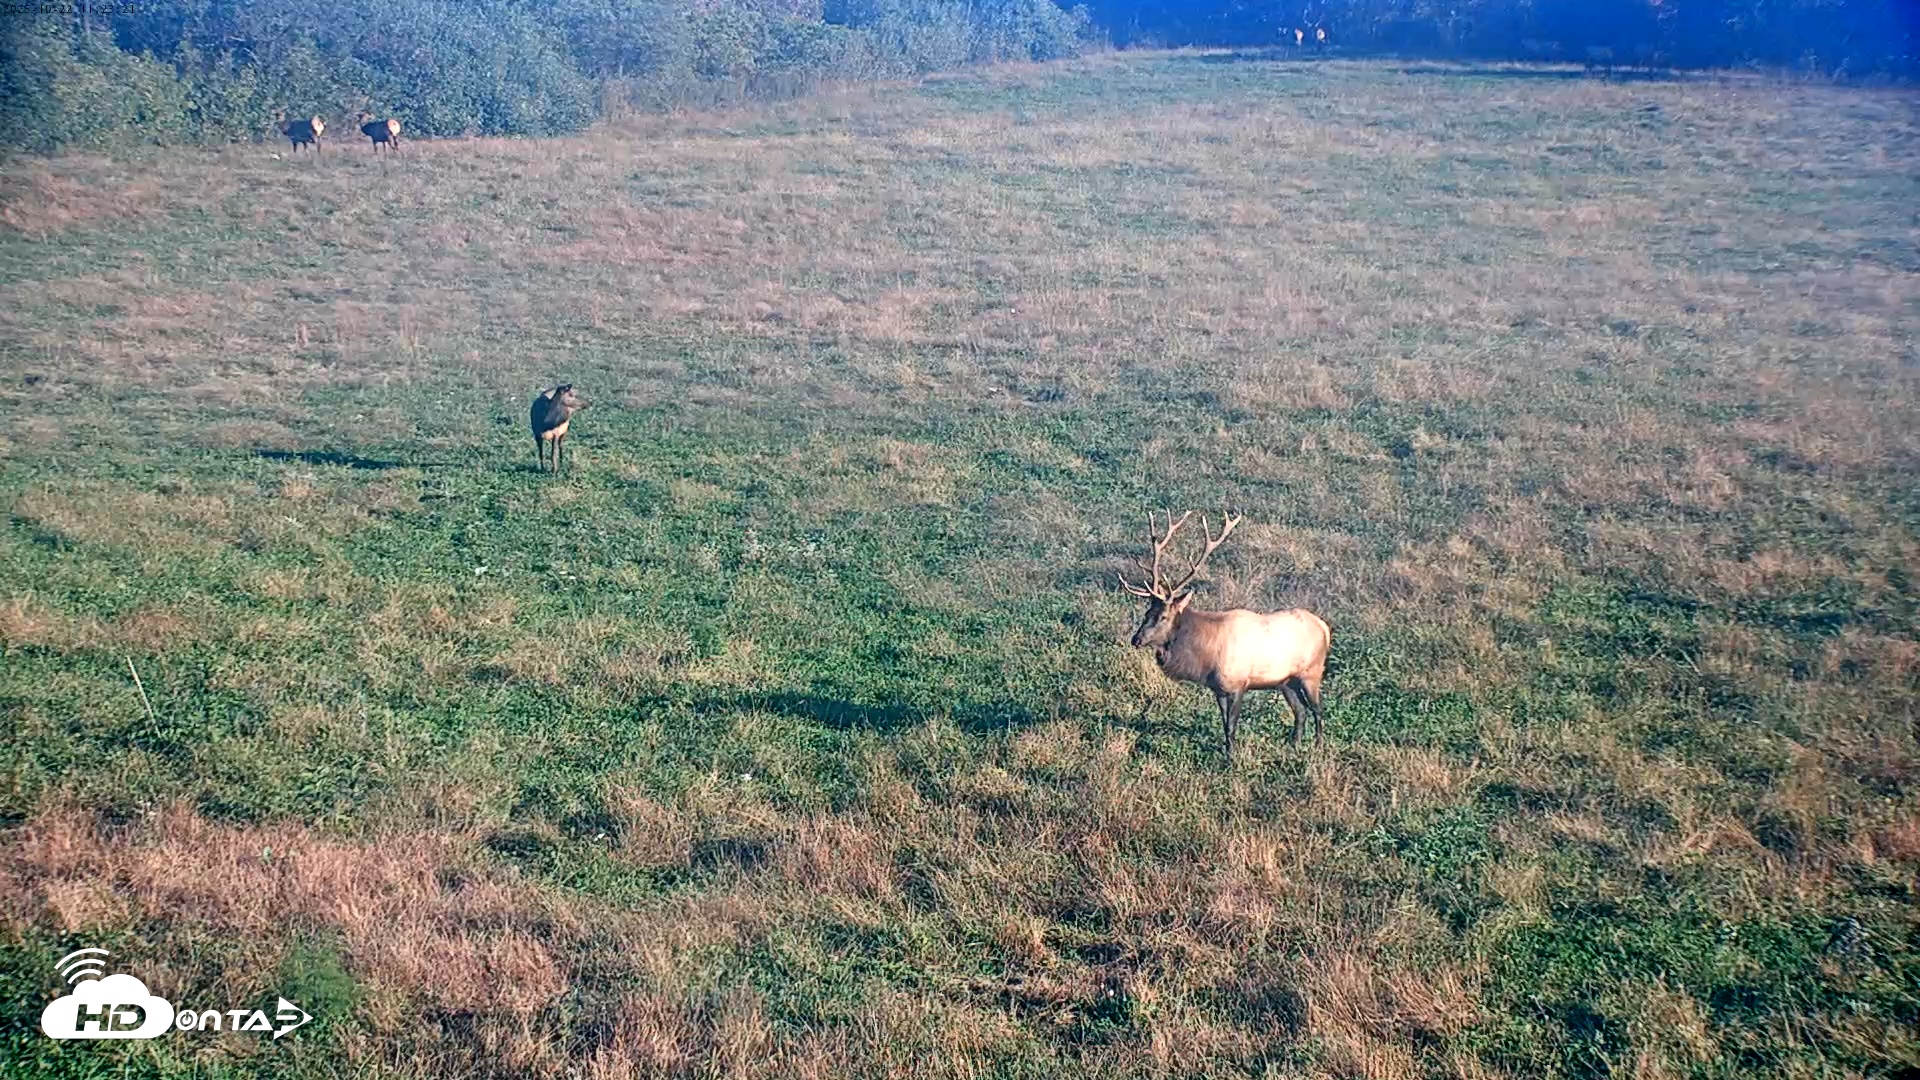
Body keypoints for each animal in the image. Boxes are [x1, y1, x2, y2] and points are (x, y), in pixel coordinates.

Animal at [1118, 511, 1332, 759]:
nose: (1136, 639)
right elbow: (1224, 724)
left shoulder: (1239, 684)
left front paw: (1231, 758)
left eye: (1162, 616)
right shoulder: (1218, 688)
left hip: (1311, 673)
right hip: (1286, 681)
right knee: (1301, 712)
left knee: (1318, 710)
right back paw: (1293, 746)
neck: (1206, 656)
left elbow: (1231, 725)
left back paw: (1318, 747)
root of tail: (1325, 628)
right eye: (1147, 612)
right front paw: (1227, 752)